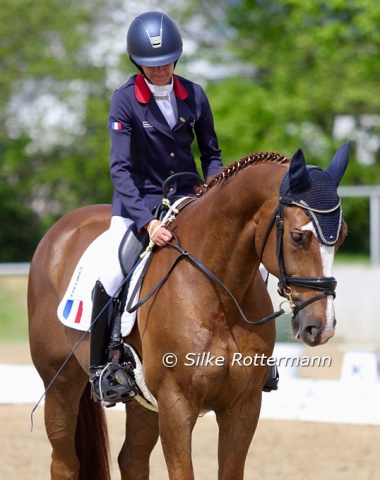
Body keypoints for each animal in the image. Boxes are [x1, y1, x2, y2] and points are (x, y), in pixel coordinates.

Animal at [27, 143, 350, 480]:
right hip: (60, 379)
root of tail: (61, 227)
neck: (218, 293)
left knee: (132, 459)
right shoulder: (176, 404)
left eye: (342, 236)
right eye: (298, 237)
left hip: (143, 400)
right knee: (64, 462)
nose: (322, 326)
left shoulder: (243, 406)